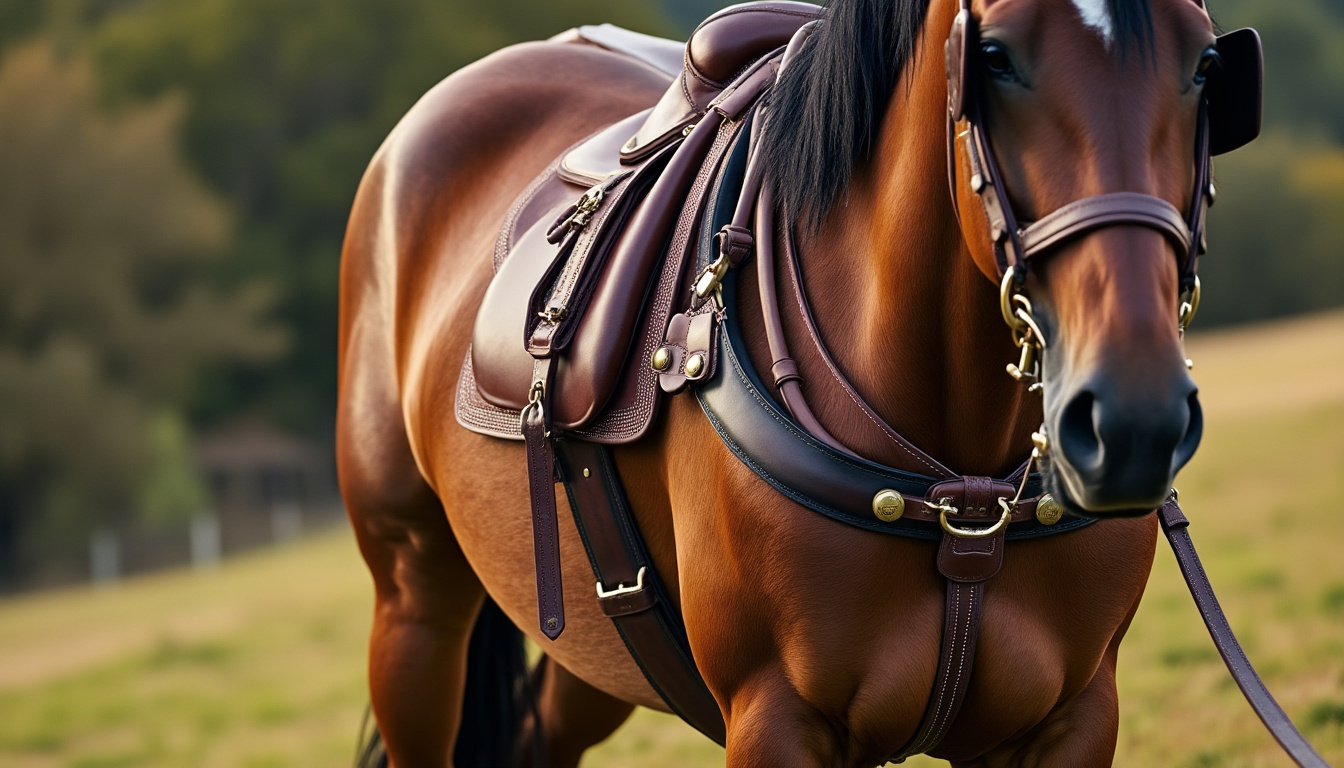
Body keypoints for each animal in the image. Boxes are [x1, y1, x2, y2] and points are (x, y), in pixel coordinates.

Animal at [336, 0, 1242, 764]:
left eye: (1205, 64)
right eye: (994, 56)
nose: (1133, 418)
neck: (964, 504)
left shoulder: (1072, 717)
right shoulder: (777, 718)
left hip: (593, 644)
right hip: (415, 599)